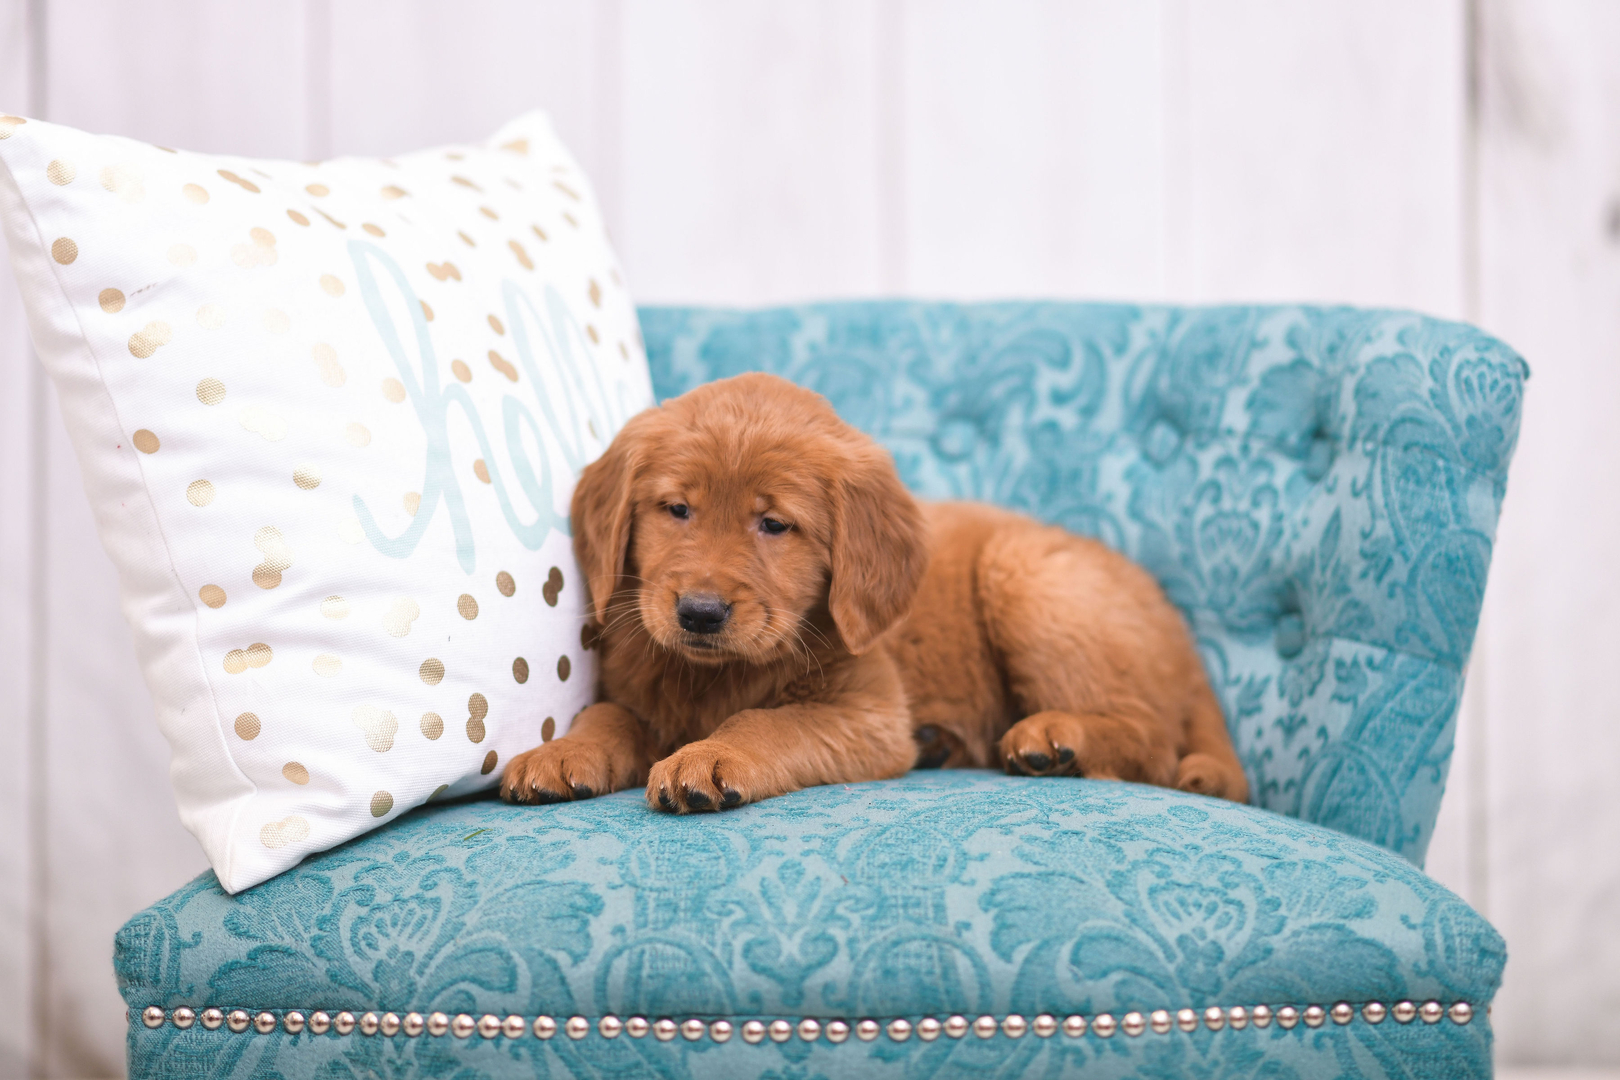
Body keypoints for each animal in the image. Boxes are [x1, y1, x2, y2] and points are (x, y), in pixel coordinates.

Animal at [498, 374, 1244, 809]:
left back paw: (1056, 739)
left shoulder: (870, 713)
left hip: (1028, 574)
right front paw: (562, 753)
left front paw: (710, 755)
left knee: (1151, 740)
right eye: (676, 509)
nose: (699, 614)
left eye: (774, 524)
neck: (714, 676)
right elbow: (608, 716)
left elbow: (767, 721)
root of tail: (1183, 641)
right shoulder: (635, 688)